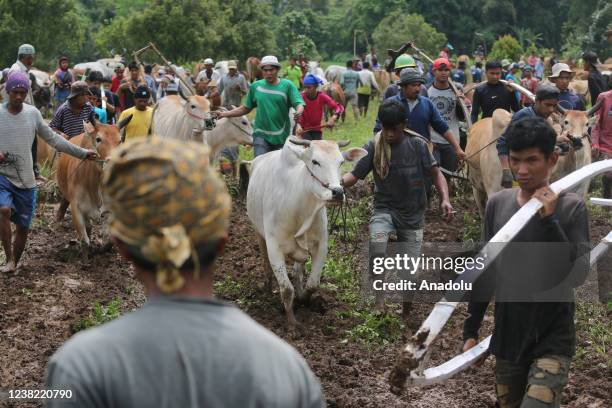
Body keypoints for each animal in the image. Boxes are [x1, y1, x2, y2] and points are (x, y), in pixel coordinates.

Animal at [246, 137, 366, 328]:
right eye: (315, 161)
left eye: (341, 162)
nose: (338, 192)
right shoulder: (274, 248)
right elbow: (286, 289)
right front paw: (292, 323)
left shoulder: (321, 245)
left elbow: (313, 284)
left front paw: (303, 298)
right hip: (258, 232)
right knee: (266, 265)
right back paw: (268, 287)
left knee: (298, 269)